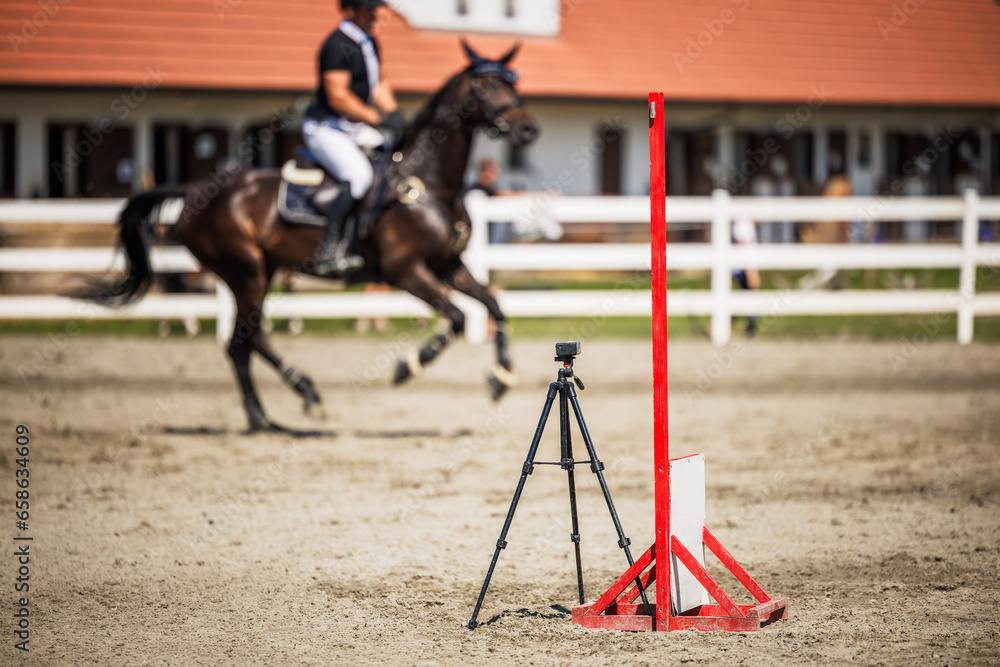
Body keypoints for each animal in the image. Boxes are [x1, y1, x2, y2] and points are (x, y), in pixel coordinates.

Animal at [92, 43, 539, 433]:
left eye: (513, 83)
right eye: (490, 85)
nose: (529, 129)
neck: (426, 185)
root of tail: (194, 193)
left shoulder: (448, 265)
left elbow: (494, 307)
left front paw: (501, 377)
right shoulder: (405, 271)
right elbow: (459, 317)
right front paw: (407, 366)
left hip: (260, 272)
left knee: (241, 344)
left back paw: (265, 416)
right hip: (246, 272)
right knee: (248, 339)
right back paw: (300, 395)